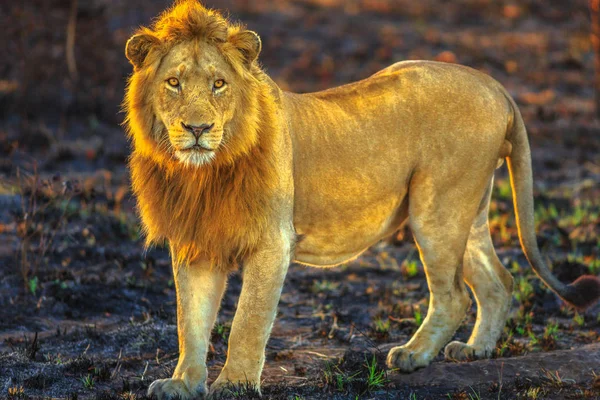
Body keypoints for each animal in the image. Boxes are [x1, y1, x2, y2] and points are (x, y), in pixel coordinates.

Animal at [123, 1, 600, 398]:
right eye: (173, 83)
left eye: (219, 84)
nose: (197, 128)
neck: (202, 174)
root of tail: (493, 83)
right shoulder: (196, 243)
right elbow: (190, 319)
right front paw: (184, 383)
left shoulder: (273, 242)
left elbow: (247, 320)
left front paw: (234, 385)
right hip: (471, 206)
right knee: (498, 280)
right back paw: (475, 350)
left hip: (436, 208)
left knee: (454, 295)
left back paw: (413, 356)